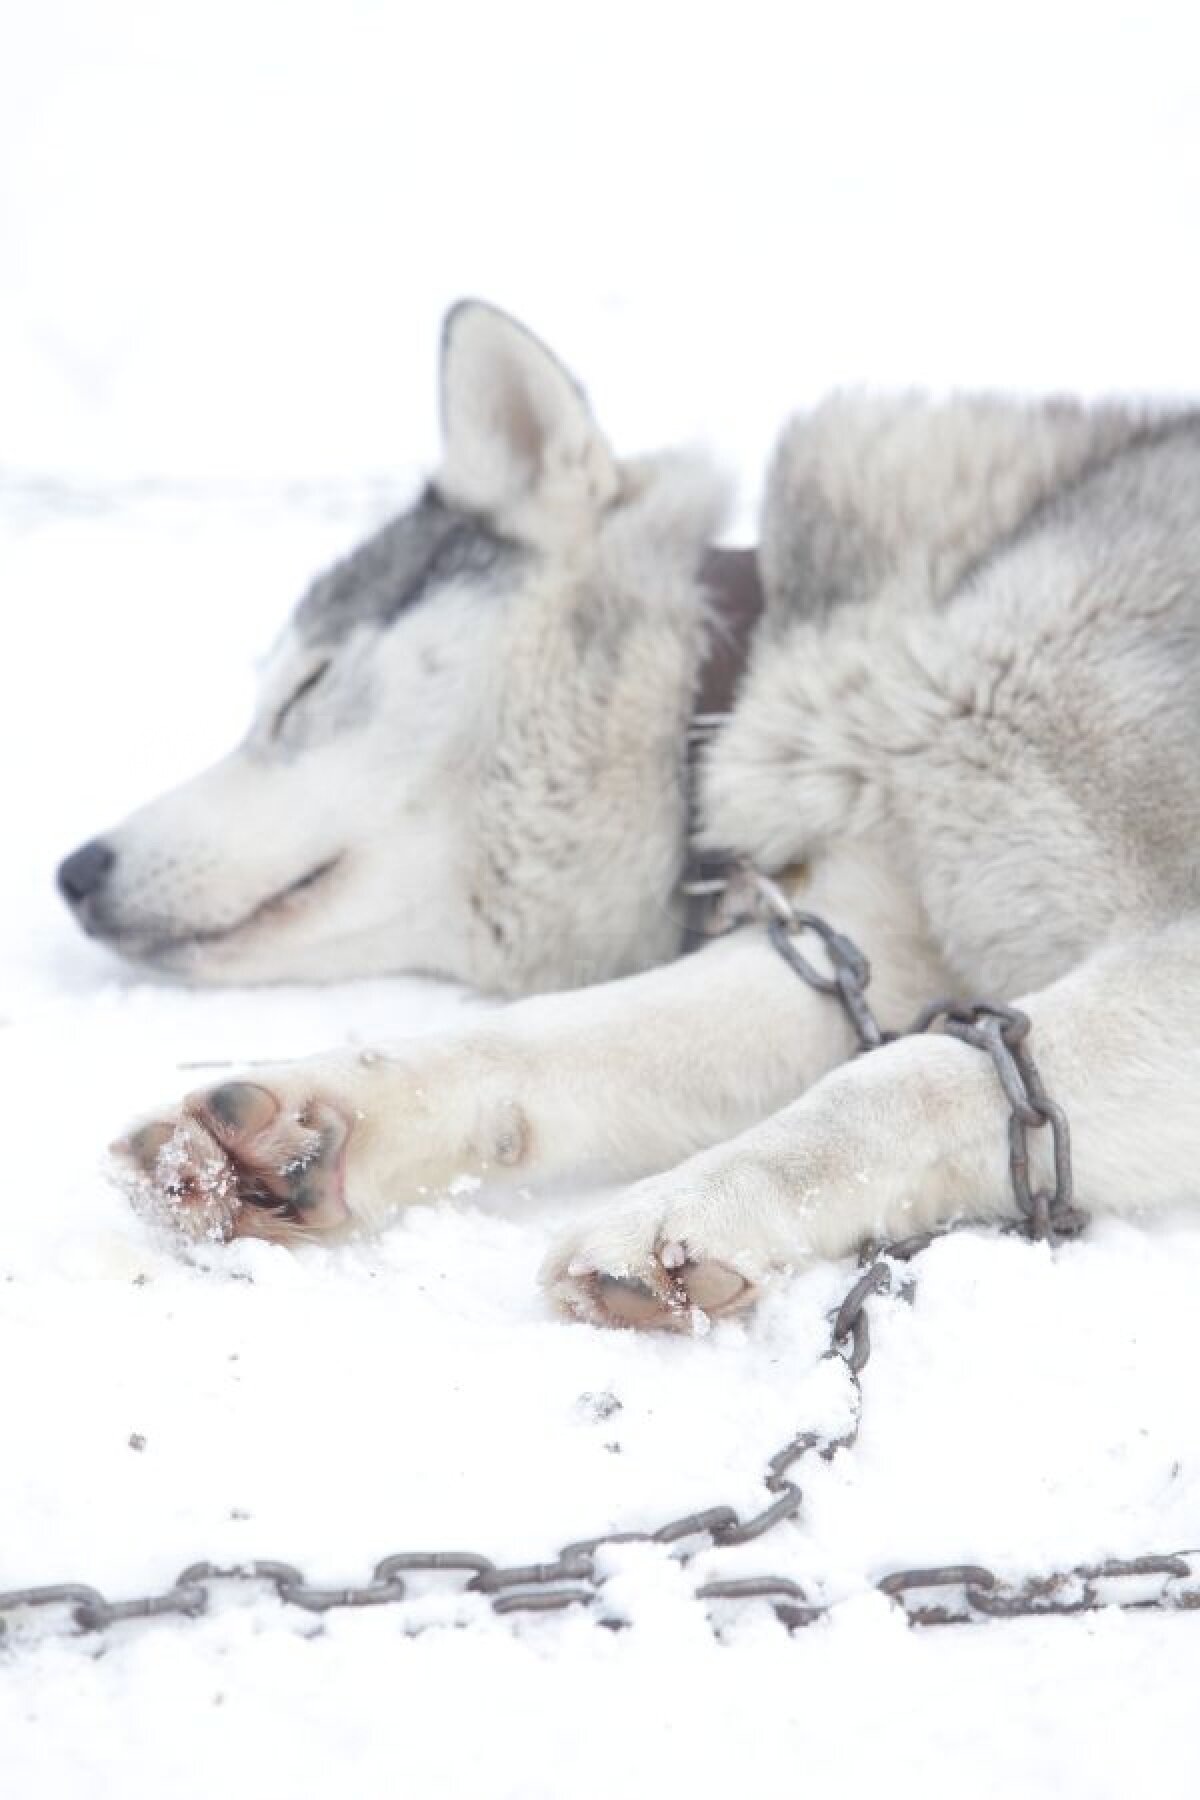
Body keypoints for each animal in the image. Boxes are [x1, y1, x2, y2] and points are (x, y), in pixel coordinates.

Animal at [61, 302, 1200, 1332]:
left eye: (305, 688)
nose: (74, 871)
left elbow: (898, 1074)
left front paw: (699, 1205)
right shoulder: (862, 948)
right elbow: (546, 1037)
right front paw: (323, 1117)